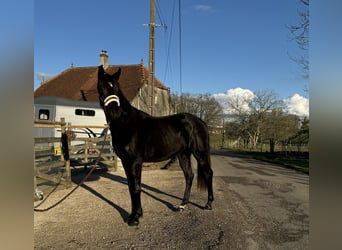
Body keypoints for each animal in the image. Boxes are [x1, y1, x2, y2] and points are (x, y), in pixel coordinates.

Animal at [97, 65, 214, 226]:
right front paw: (136, 214)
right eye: (102, 87)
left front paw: (134, 218)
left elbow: (136, 188)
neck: (126, 123)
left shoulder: (134, 162)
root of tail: (200, 122)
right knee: (189, 176)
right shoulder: (127, 162)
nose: (114, 111)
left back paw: (208, 204)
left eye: (116, 87)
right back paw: (182, 205)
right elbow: (132, 187)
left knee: (208, 173)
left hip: (200, 153)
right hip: (183, 154)